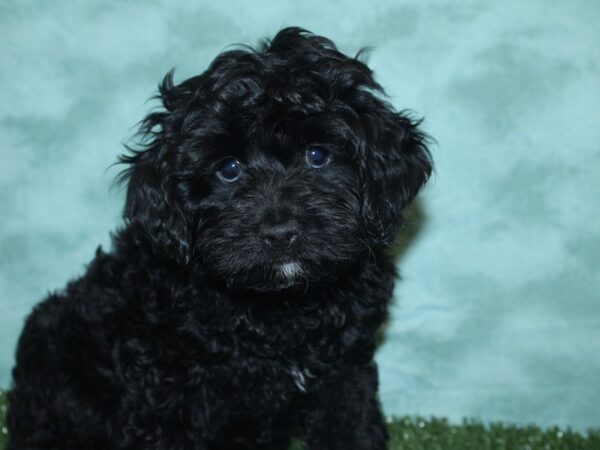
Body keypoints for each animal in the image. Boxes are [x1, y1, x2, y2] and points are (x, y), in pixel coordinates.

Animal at [8, 29, 432, 450]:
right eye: (228, 169)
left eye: (317, 155)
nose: (280, 234)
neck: (280, 308)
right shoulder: (165, 394)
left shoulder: (343, 373)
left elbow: (350, 427)